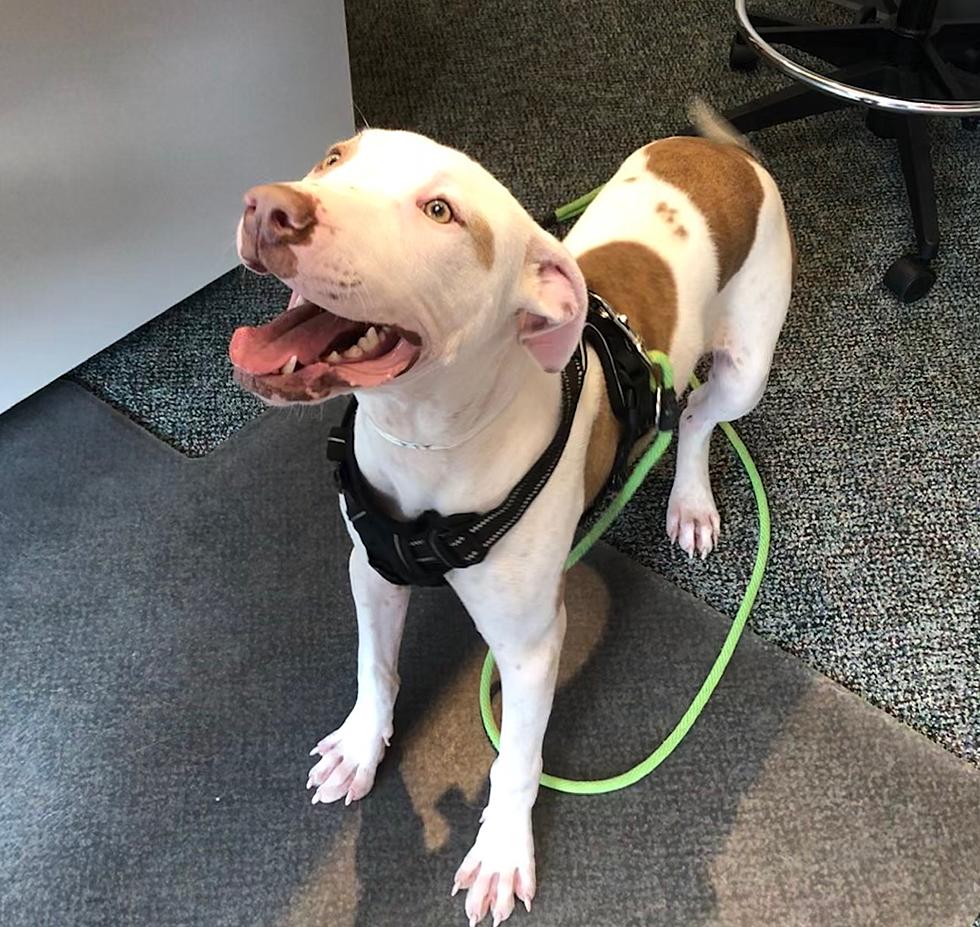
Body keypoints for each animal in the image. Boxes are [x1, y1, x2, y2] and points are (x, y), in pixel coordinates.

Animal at [232, 110, 796, 927]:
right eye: (332, 159)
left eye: (441, 211)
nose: (270, 206)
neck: (427, 438)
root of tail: (724, 152)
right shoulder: (371, 568)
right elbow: (375, 665)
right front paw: (361, 746)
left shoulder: (530, 646)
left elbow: (518, 759)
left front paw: (501, 851)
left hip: (747, 365)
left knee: (695, 417)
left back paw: (690, 501)